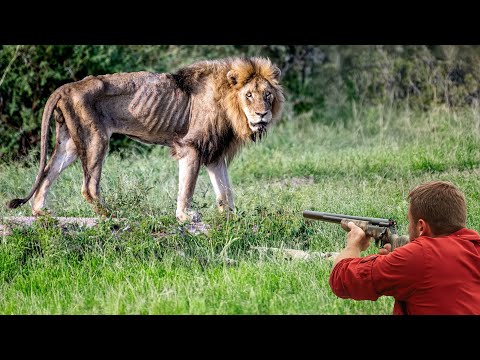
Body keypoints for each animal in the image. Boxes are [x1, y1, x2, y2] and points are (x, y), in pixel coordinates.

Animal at [6, 56, 284, 222]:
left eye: (267, 94)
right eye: (249, 95)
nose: (262, 114)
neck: (229, 103)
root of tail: (66, 87)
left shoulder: (214, 152)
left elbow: (225, 190)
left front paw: (231, 218)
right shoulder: (191, 146)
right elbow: (187, 187)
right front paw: (185, 216)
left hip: (70, 143)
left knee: (47, 174)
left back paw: (42, 212)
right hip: (96, 139)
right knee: (88, 187)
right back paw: (113, 215)